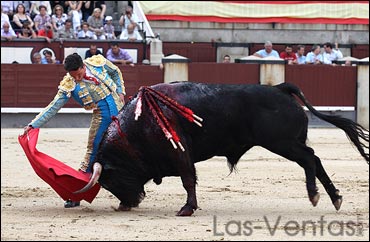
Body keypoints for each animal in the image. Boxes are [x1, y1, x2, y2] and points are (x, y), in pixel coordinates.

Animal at [74, 81, 368, 216]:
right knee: (315, 160)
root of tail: (280, 88)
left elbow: (188, 179)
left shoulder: (180, 152)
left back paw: (314, 195)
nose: (127, 205)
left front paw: (187, 208)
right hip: (290, 143)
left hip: (282, 143)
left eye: (109, 180)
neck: (137, 124)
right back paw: (335, 197)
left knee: (309, 159)